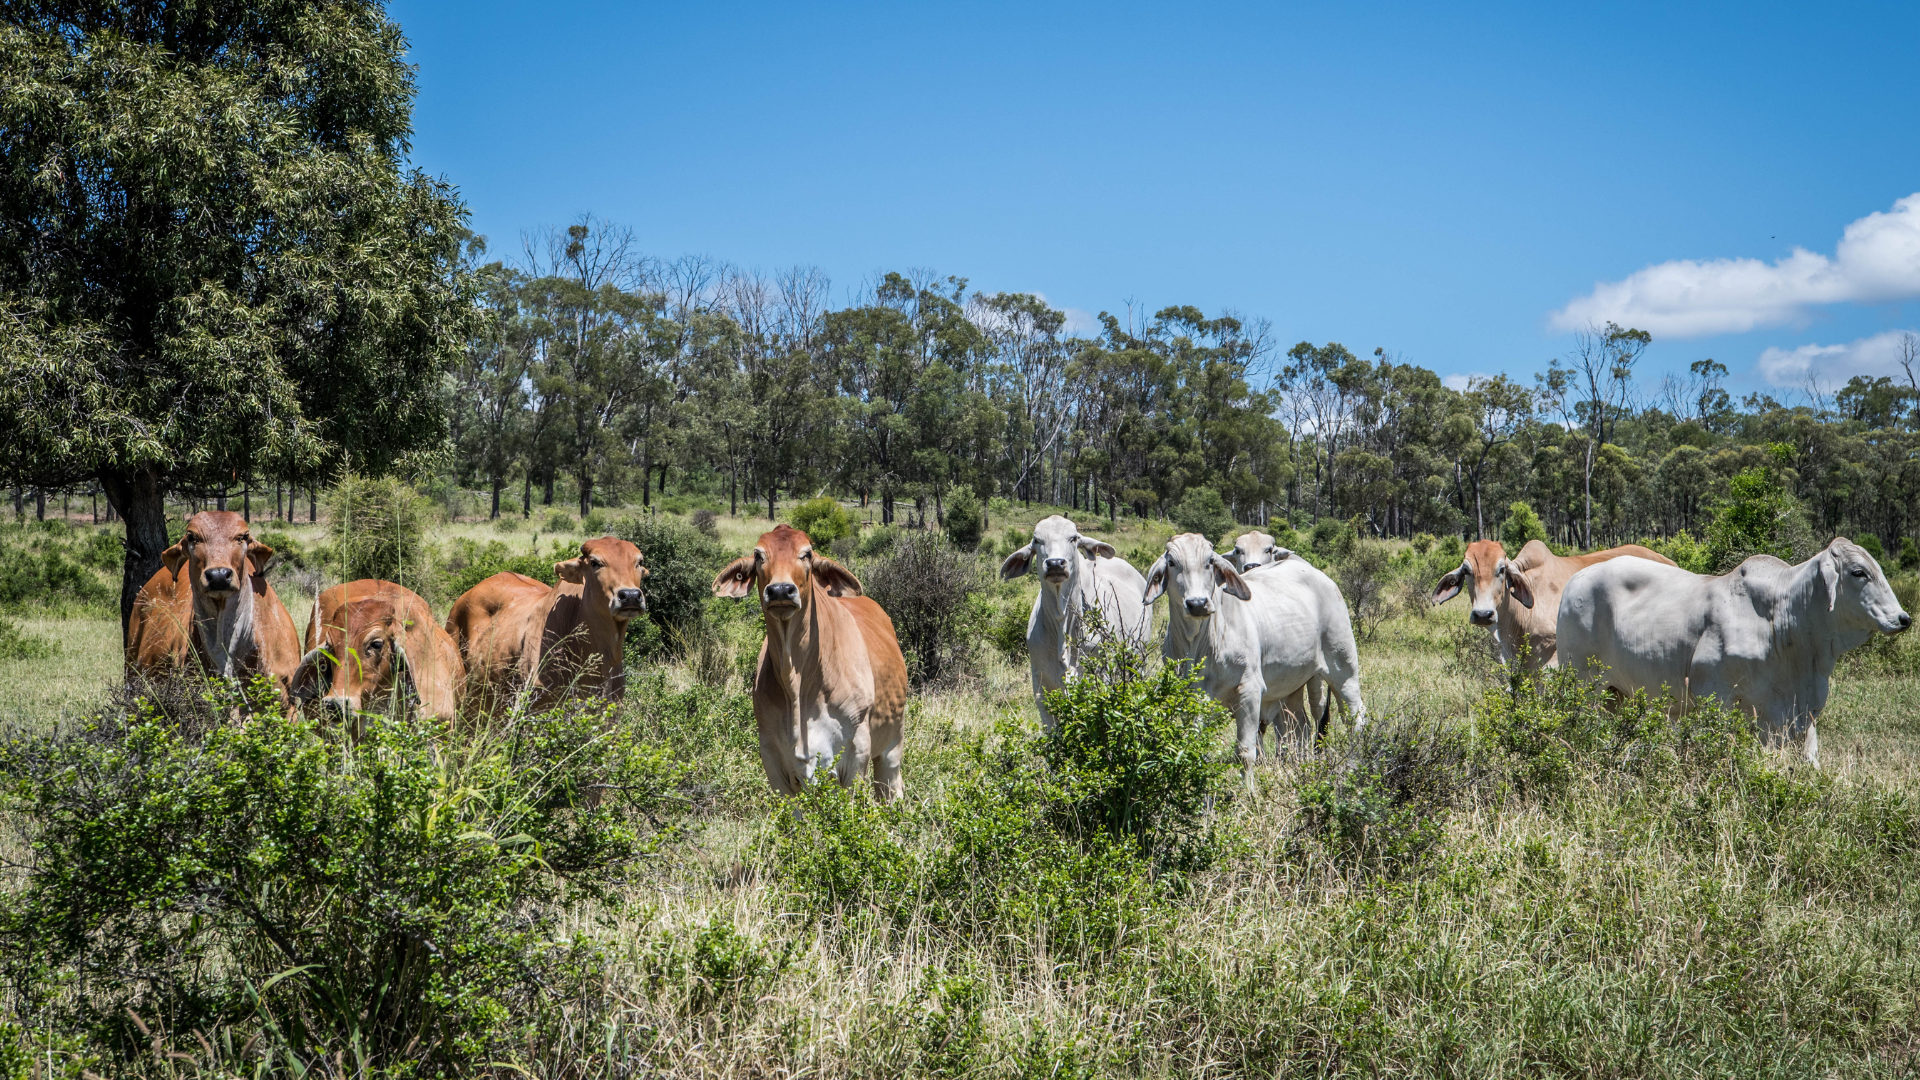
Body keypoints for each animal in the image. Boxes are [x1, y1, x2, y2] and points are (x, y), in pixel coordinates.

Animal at [713, 524, 908, 801]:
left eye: (806, 554)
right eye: (759, 555)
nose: (780, 590)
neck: (797, 680)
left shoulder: (856, 757)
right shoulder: (774, 766)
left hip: (892, 745)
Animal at [999, 515, 1150, 730]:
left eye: (1073, 538)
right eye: (1037, 540)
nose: (1055, 563)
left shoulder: (1099, 678)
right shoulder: (1041, 688)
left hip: (1139, 660)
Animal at [1145, 533, 1366, 785]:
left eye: (1210, 561)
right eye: (1172, 562)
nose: (1197, 603)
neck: (1199, 646)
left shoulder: (1249, 692)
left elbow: (1245, 753)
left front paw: (1247, 792)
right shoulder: (1190, 700)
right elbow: (1196, 750)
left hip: (1343, 671)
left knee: (1353, 718)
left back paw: (1354, 767)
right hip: (1292, 686)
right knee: (1301, 725)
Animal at [1556, 539, 1911, 765]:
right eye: (1858, 572)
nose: (1903, 618)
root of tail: (1575, 580)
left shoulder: (1799, 712)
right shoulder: (1715, 695)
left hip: (1615, 695)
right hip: (1583, 685)